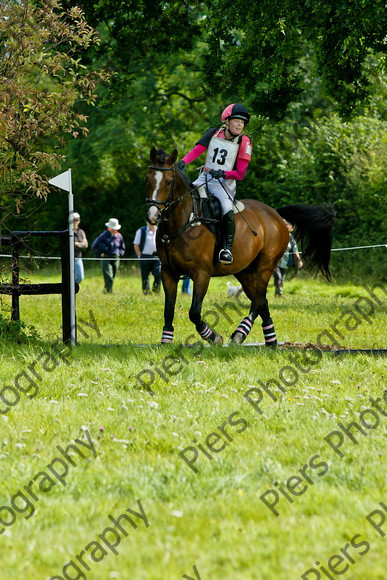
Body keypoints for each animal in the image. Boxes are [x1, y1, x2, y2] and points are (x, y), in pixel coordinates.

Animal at [146, 147, 336, 346]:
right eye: (148, 179)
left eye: (168, 182)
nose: (153, 216)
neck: (184, 220)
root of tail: (276, 214)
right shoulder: (168, 273)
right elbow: (169, 310)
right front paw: (166, 341)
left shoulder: (201, 274)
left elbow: (194, 312)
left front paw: (214, 337)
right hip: (244, 271)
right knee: (262, 301)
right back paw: (271, 341)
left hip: (265, 266)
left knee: (258, 300)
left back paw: (240, 333)